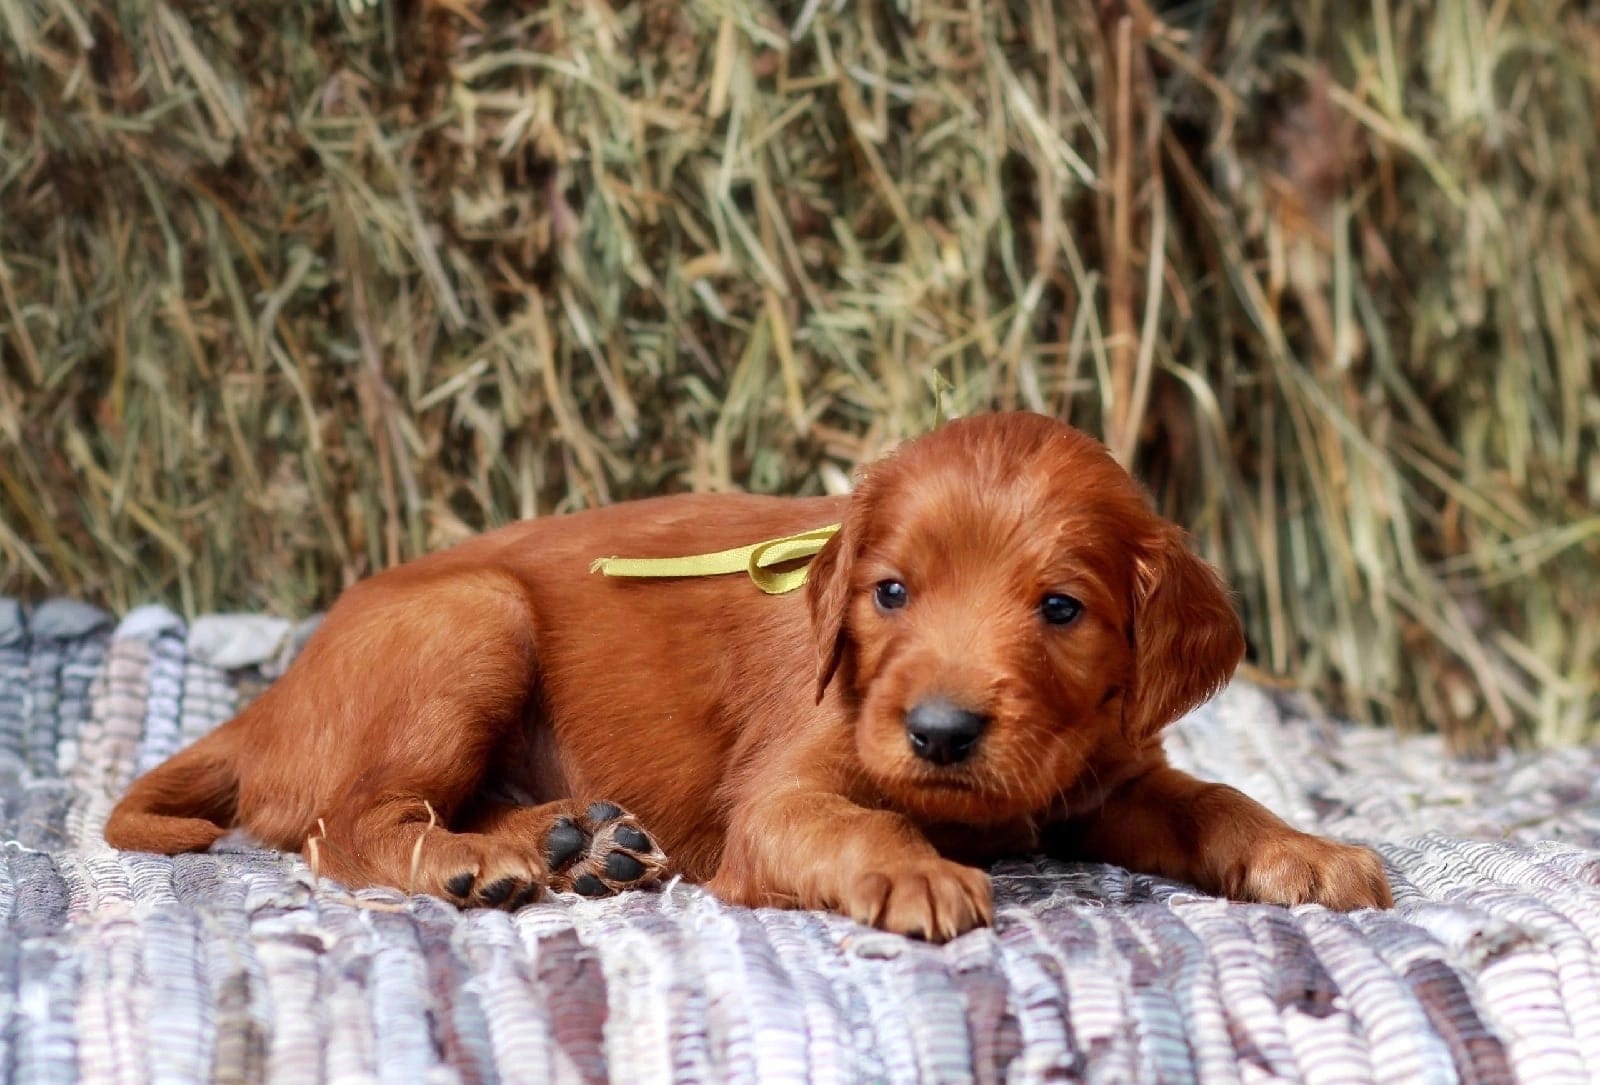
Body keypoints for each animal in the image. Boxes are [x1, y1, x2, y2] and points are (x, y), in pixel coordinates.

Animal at [106, 412, 1395, 940]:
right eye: (890, 592)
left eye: (1061, 609)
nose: (938, 732)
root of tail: (268, 701)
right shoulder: (775, 799)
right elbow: (851, 822)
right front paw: (915, 872)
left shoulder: (1114, 772)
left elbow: (1215, 798)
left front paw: (1308, 849)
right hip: (475, 617)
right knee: (345, 824)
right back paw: (483, 861)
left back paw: (574, 841)